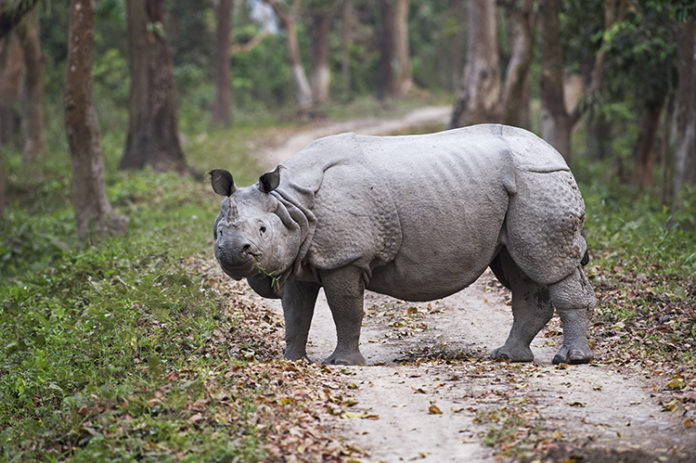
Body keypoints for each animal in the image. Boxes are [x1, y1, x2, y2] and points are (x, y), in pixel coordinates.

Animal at [209, 123, 596, 366]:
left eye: (262, 229)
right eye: (218, 232)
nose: (232, 252)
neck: (290, 205)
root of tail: (556, 154)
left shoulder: (345, 257)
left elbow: (346, 308)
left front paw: (342, 363)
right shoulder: (300, 256)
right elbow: (296, 312)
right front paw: (293, 360)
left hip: (539, 180)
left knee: (549, 263)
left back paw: (571, 360)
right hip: (523, 189)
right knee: (519, 269)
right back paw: (507, 356)